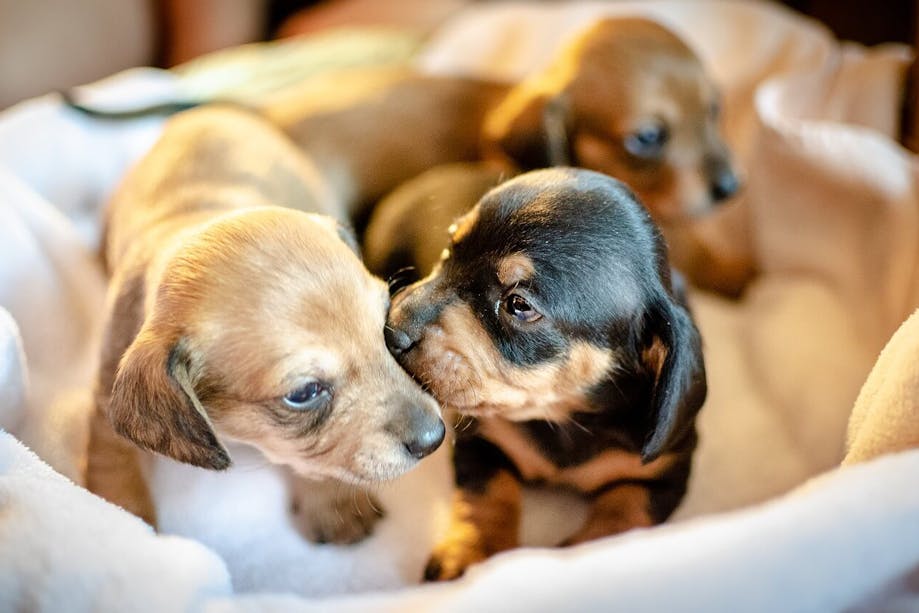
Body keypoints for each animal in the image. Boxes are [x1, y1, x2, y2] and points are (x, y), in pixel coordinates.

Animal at [89, 107, 446, 544]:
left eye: (385, 327)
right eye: (303, 393)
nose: (435, 438)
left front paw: (332, 503)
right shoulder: (104, 406)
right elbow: (113, 472)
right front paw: (124, 527)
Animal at [384, 167, 708, 580]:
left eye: (518, 305)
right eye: (448, 251)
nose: (391, 330)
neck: (564, 417)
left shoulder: (663, 474)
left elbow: (625, 513)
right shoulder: (483, 440)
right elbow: (487, 495)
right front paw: (471, 552)